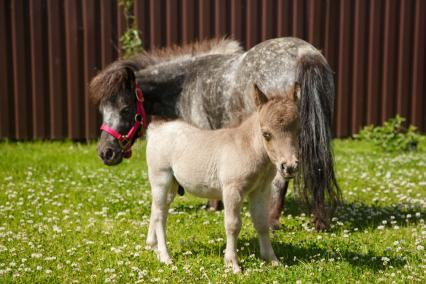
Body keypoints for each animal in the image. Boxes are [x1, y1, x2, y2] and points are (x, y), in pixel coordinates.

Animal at [90, 37, 340, 231]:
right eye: (102, 110)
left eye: (124, 109)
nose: (105, 152)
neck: (185, 84)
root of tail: (305, 54)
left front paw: (213, 205)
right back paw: (320, 221)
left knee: (281, 179)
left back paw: (272, 221)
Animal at [145, 85, 302, 272]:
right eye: (266, 134)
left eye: (299, 131)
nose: (290, 167)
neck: (248, 148)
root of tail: (155, 130)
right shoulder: (232, 190)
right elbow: (233, 225)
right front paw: (232, 264)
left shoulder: (261, 190)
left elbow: (262, 223)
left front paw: (272, 259)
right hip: (161, 178)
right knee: (160, 215)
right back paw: (165, 256)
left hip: (172, 185)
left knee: (156, 209)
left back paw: (152, 246)